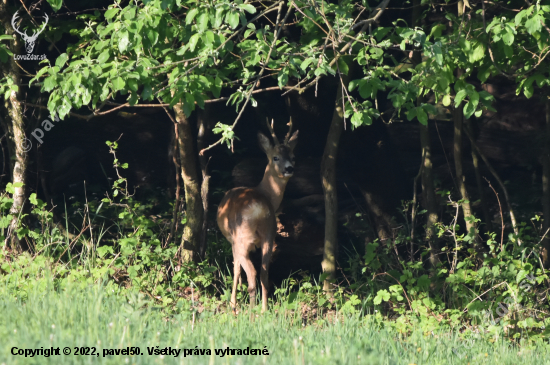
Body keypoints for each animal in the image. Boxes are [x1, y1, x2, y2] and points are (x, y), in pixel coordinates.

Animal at [218, 118, 300, 312]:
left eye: (293, 157)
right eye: (276, 157)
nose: (289, 168)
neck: (266, 193)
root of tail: (258, 210)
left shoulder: (233, 241)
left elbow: (236, 269)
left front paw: (232, 303)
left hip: (242, 237)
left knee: (252, 272)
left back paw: (250, 310)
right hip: (269, 236)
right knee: (264, 272)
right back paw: (263, 309)